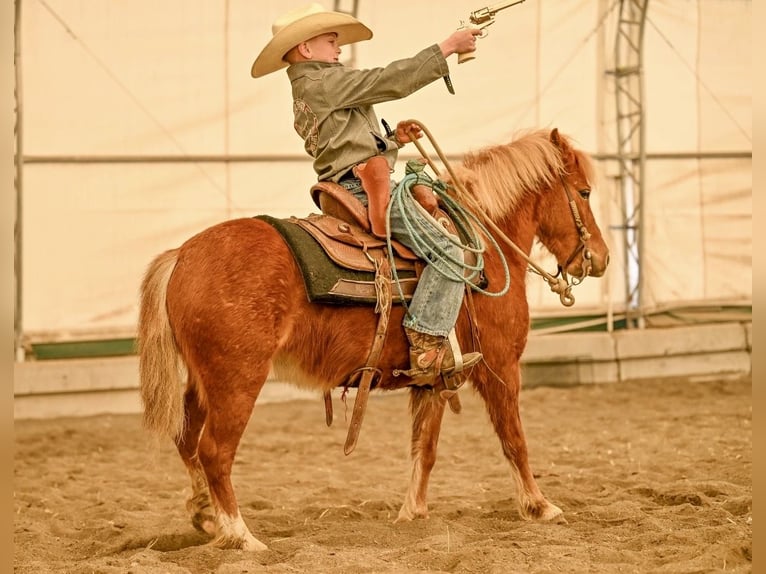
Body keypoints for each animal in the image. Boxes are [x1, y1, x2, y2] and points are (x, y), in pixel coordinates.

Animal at [138, 127, 610, 551]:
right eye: (585, 192)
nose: (601, 259)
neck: (485, 247)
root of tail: (181, 256)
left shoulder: (436, 379)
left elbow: (425, 447)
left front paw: (412, 514)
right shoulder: (501, 367)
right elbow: (514, 439)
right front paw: (539, 506)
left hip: (204, 382)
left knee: (187, 440)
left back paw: (207, 517)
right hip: (237, 381)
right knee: (215, 451)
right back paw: (241, 536)